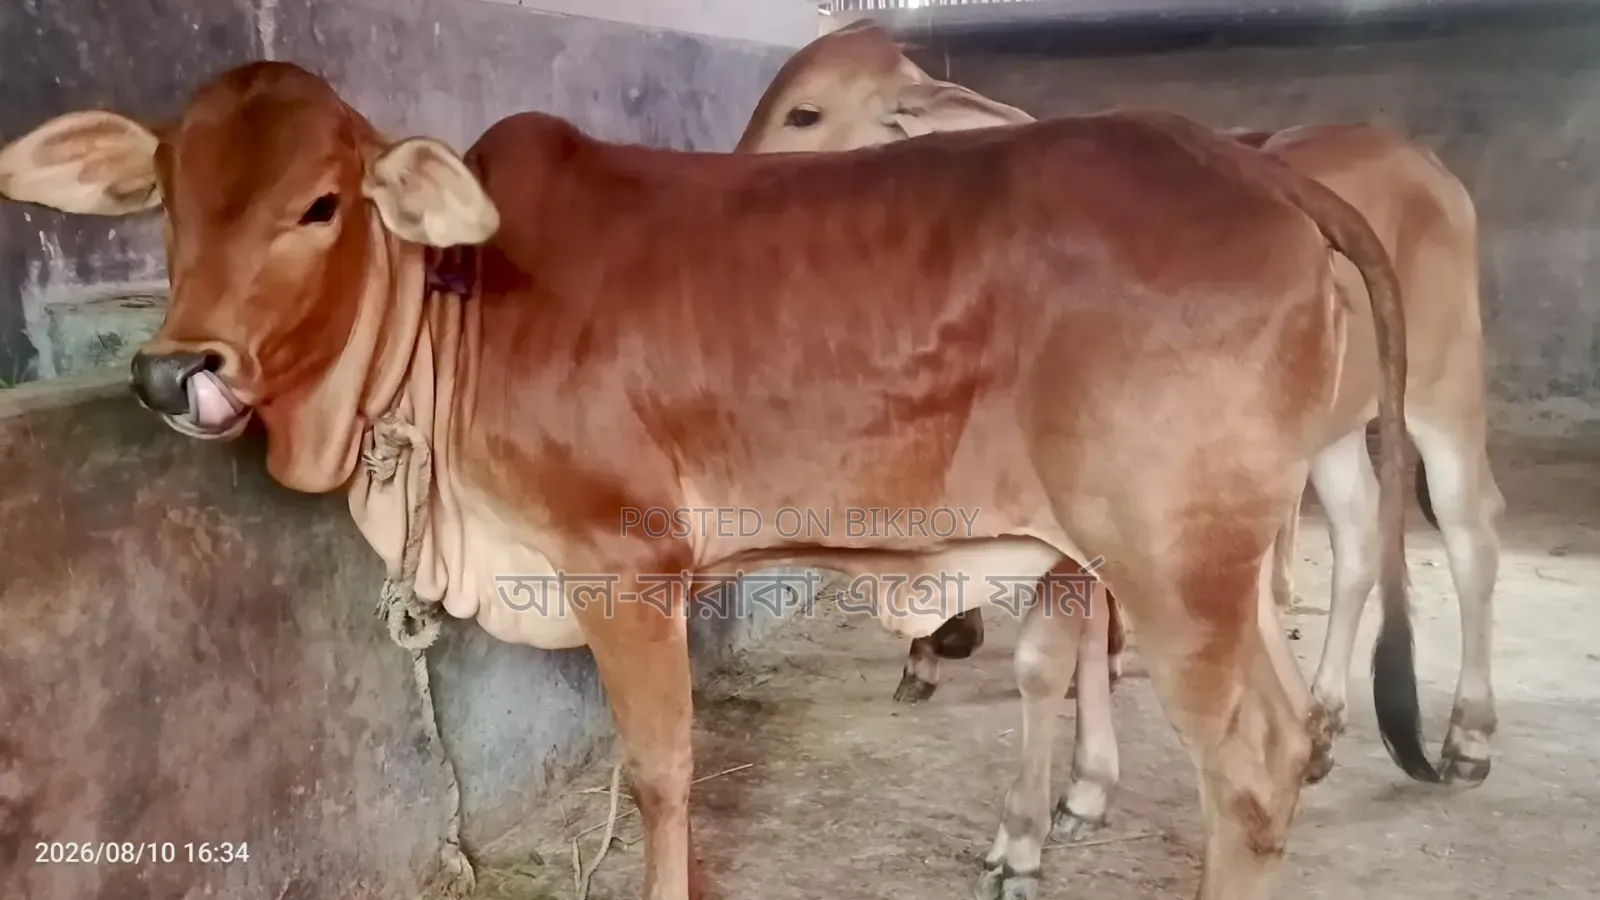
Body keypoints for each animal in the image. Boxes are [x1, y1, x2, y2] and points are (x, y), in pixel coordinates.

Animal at [0, 58, 1434, 900]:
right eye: (170, 200)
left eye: (321, 203)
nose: (176, 369)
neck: (455, 305)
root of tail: (1253, 163)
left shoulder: (624, 562)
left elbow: (662, 770)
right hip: (1207, 556)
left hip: (1180, 558)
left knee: (1250, 762)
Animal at [733, 25, 1503, 833]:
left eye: (805, 114)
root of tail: (1422, 163)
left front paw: (1083, 782)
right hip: (1330, 434)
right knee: (1357, 538)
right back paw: (1323, 715)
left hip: (1442, 393)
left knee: (1469, 526)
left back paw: (1466, 737)